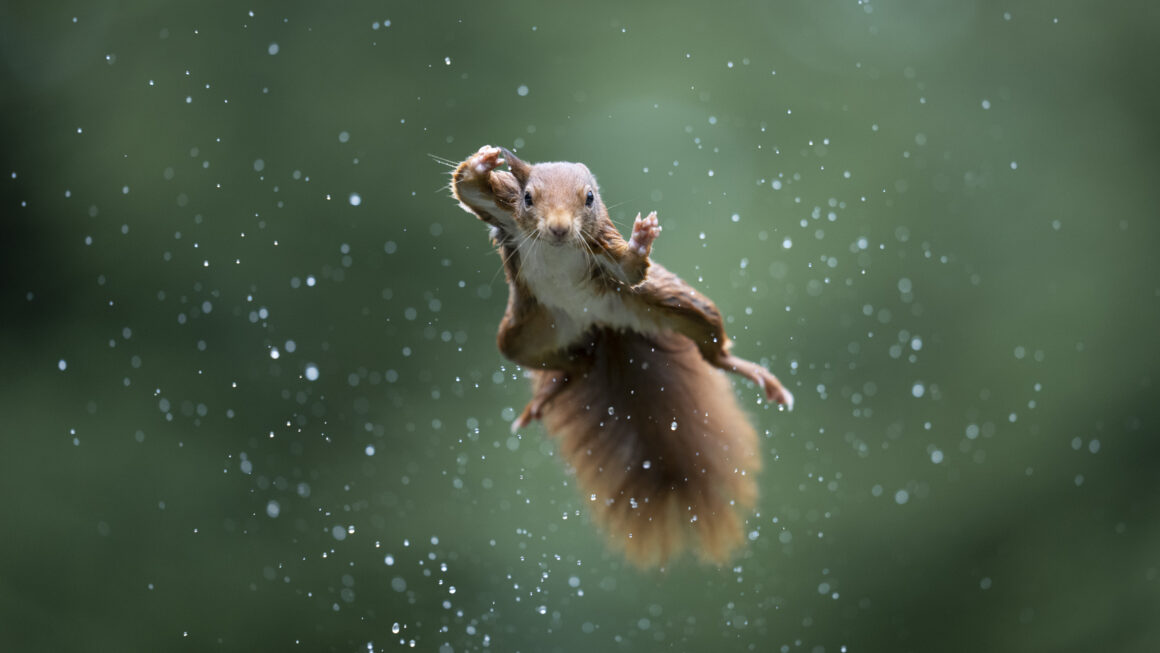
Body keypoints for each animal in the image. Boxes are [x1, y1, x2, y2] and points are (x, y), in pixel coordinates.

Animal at [447, 145, 793, 563]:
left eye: (589, 198)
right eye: (528, 197)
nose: (559, 229)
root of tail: (600, 325)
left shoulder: (603, 248)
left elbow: (630, 269)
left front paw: (642, 240)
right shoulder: (505, 211)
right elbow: (467, 188)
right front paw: (484, 161)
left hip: (672, 303)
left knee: (712, 349)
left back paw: (755, 374)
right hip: (525, 333)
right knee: (574, 363)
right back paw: (551, 391)